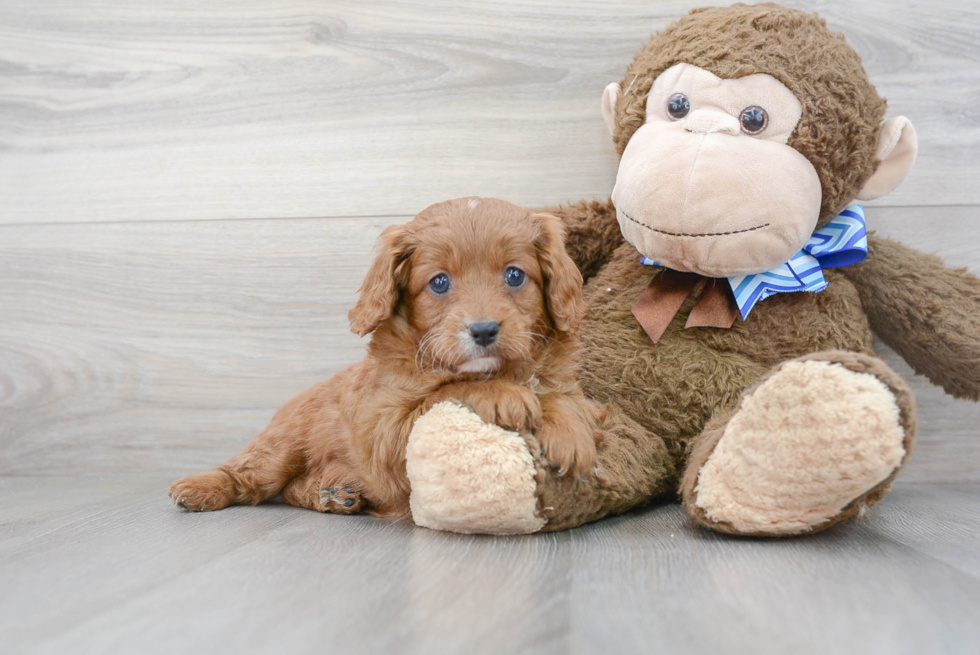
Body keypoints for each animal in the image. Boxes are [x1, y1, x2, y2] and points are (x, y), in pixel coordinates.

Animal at [168, 197, 600, 520]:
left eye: (514, 275)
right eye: (439, 282)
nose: (483, 331)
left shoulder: (566, 385)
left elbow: (564, 398)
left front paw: (570, 435)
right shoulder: (383, 431)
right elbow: (445, 392)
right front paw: (503, 394)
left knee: (290, 489)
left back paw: (335, 493)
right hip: (281, 444)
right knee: (253, 475)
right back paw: (199, 488)